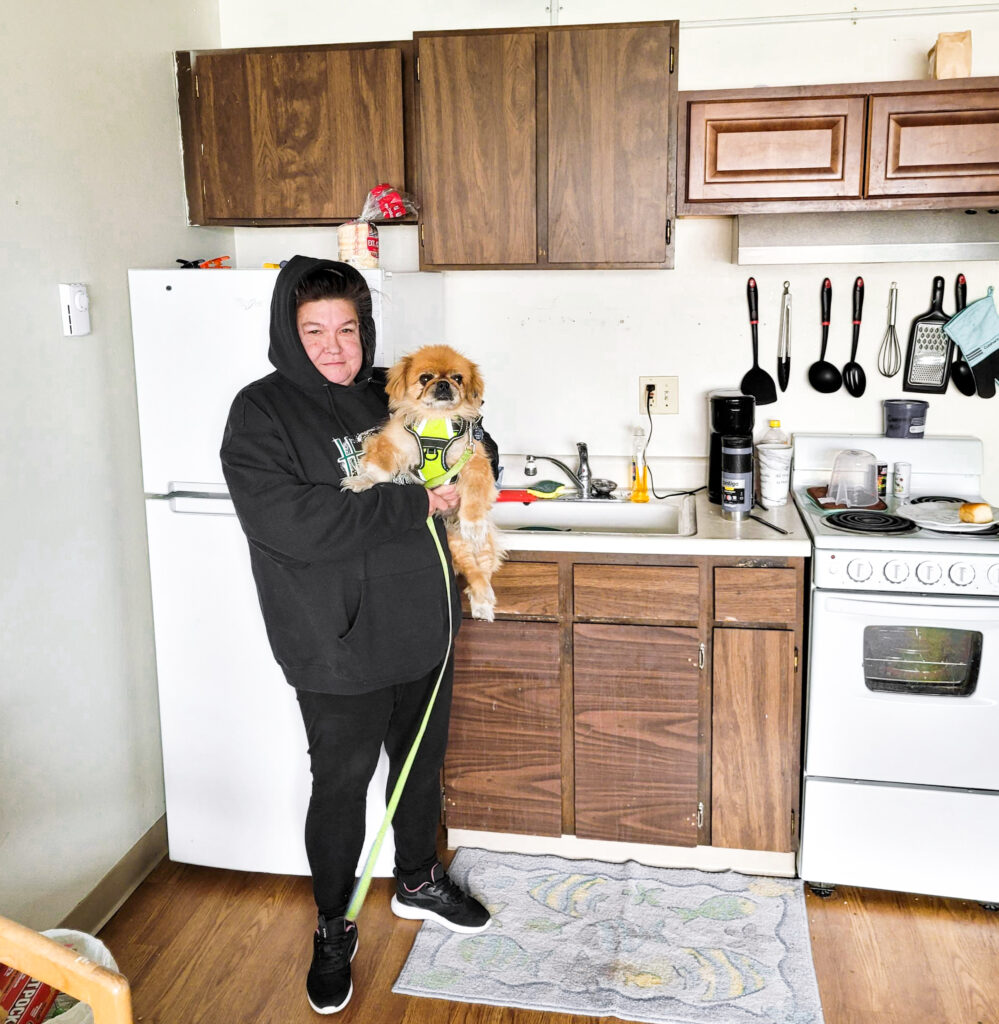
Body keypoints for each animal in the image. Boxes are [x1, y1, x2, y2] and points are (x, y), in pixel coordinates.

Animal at [341, 344, 507, 618]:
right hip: (452, 544)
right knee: (472, 569)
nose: (443, 384)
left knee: (482, 572)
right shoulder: (394, 444)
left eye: (458, 378)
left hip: (477, 545)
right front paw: (361, 480)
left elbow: (473, 496)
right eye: (425, 378)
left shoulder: (473, 461)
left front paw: (473, 523)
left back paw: (483, 601)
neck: (436, 422)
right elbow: (379, 469)